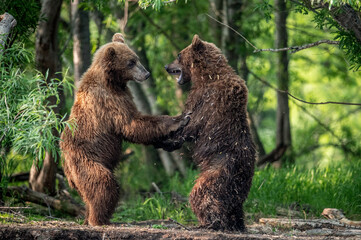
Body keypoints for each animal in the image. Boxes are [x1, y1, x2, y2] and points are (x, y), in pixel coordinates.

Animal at [59, 33, 188, 227]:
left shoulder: (125, 94)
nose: (146, 74)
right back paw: (99, 219)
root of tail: (66, 171)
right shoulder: (109, 102)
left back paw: (89, 216)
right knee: (102, 183)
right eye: (131, 62)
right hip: (84, 160)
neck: (113, 82)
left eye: (137, 58)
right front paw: (178, 119)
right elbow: (132, 124)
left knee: (89, 193)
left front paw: (172, 141)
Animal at [160, 34, 256, 232]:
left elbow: (193, 122)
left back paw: (211, 222)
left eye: (179, 55)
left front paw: (170, 140)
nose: (166, 66)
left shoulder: (208, 99)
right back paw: (236, 223)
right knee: (235, 205)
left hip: (219, 169)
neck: (206, 76)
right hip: (238, 182)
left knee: (203, 193)